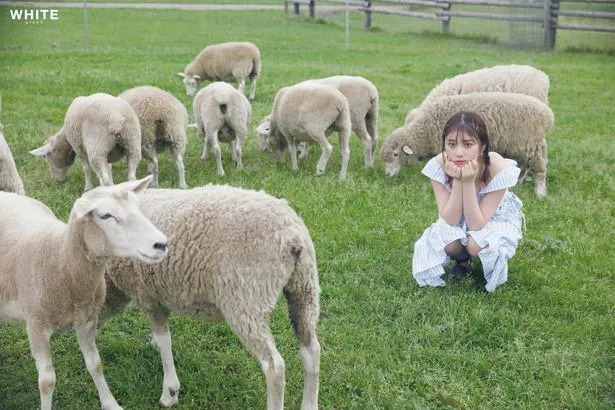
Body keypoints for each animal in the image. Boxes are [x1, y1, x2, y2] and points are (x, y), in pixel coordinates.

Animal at [0, 176, 168, 410]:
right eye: (105, 215)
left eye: (138, 207)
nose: (161, 244)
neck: (60, 260)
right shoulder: (36, 326)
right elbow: (47, 381)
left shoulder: (86, 320)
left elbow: (95, 364)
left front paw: (110, 402)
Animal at [100, 186, 322, 410]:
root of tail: (292, 236)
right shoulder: (155, 294)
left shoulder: (146, 294)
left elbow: (165, 341)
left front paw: (169, 391)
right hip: (304, 287)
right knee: (311, 350)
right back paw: (309, 403)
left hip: (247, 298)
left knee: (274, 367)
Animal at [382, 92, 556, 198]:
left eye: (396, 154)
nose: (387, 175)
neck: (426, 130)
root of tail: (547, 114)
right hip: (524, 145)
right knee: (525, 165)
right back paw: (517, 183)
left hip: (529, 143)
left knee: (539, 167)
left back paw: (540, 193)